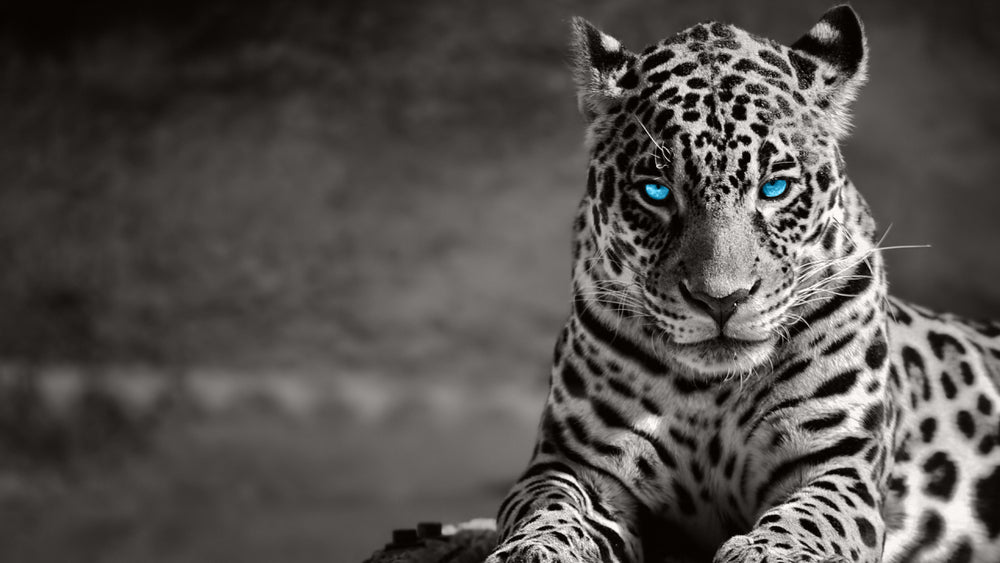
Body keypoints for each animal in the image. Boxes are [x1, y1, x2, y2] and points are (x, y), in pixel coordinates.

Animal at [486, 5, 1000, 563]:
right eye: (656, 192)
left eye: (774, 187)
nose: (720, 300)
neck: (712, 392)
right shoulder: (573, 461)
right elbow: (551, 508)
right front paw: (532, 549)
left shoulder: (837, 463)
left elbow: (809, 519)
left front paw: (767, 552)